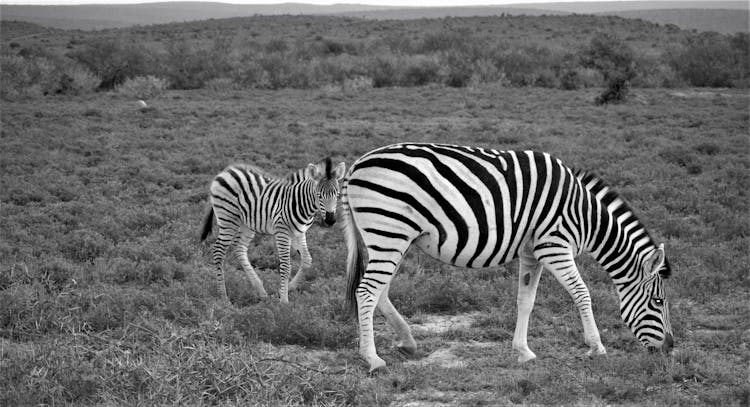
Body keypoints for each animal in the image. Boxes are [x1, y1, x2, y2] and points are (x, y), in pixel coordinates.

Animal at [203, 158, 350, 304]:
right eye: (319, 195)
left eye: (337, 194)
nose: (330, 220)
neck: (301, 203)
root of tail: (225, 172)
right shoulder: (282, 232)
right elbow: (285, 266)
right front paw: (284, 301)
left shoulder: (299, 232)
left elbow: (307, 260)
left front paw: (287, 289)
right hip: (228, 219)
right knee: (218, 251)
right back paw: (223, 297)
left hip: (246, 223)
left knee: (239, 248)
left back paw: (261, 291)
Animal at [340, 143, 676, 372]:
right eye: (658, 301)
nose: (670, 349)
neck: (584, 214)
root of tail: (356, 165)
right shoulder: (554, 245)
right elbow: (582, 293)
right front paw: (596, 347)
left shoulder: (532, 252)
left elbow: (525, 300)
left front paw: (523, 351)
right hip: (389, 232)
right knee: (366, 292)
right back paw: (372, 358)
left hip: (392, 238)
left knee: (379, 291)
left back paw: (407, 342)